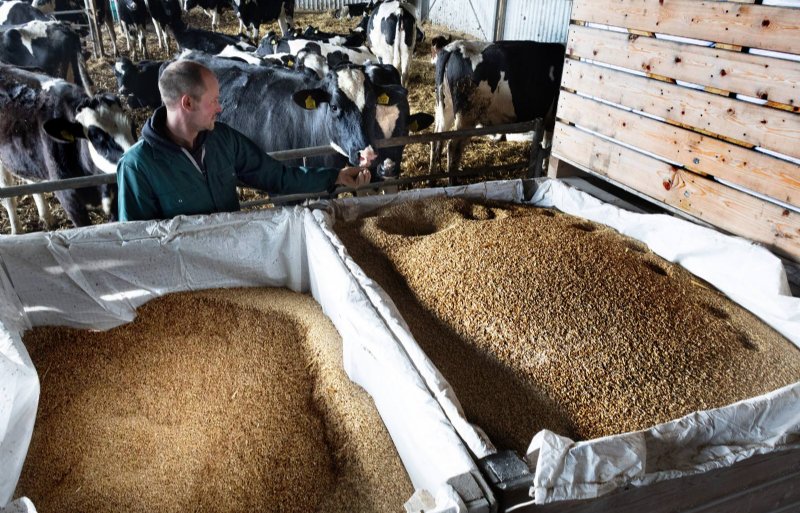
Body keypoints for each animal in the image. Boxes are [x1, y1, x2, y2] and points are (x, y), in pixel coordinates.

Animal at [0, 62, 136, 232]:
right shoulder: (68, 198)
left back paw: (47, 218)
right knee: (8, 193)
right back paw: (17, 230)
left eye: (133, 126)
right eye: (97, 137)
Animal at [428, 40, 564, 181]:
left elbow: (546, 144)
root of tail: (454, 46)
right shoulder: (552, 118)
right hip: (466, 117)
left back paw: (432, 178)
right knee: (453, 147)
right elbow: (548, 145)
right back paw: (453, 180)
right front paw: (545, 167)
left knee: (436, 140)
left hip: (445, 108)